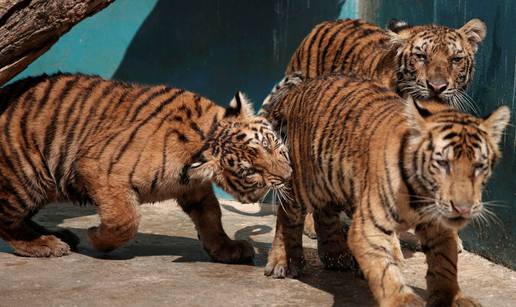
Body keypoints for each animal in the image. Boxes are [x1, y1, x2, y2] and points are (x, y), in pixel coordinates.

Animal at [0, 73, 290, 262]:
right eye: (251, 172)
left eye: (270, 144)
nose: (288, 176)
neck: (207, 136)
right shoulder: (99, 168)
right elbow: (125, 220)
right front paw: (96, 238)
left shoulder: (194, 188)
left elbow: (211, 216)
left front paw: (227, 248)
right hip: (26, 177)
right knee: (7, 220)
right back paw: (44, 244)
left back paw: (58, 234)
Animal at [262, 73, 508, 306]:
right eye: (442, 163)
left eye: (479, 166)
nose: (463, 208)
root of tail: (300, 89)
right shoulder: (369, 227)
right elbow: (385, 272)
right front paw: (404, 301)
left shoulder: (439, 228)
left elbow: (445, 265)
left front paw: (453, 297)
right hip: (305, 183)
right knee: (287, 215)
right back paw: (284, 262)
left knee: (325, 213)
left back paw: (336, 255)